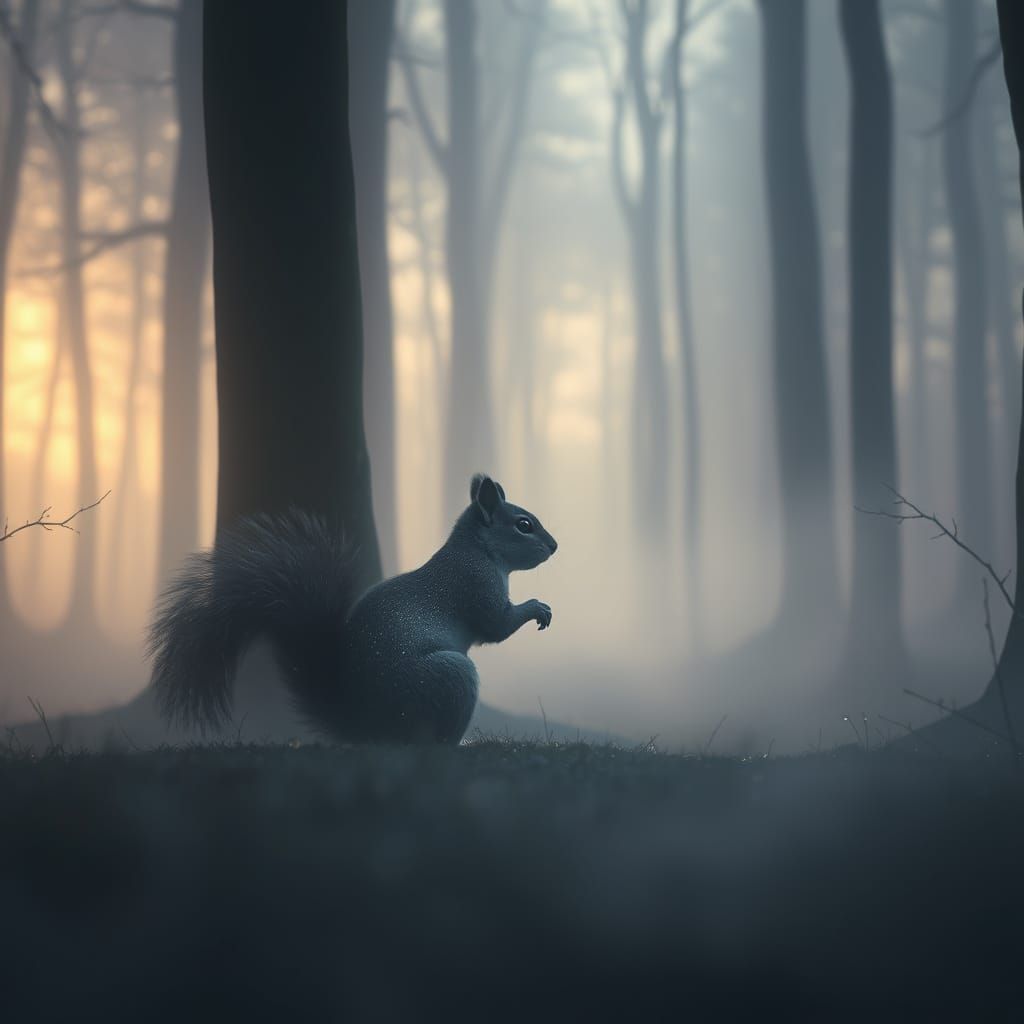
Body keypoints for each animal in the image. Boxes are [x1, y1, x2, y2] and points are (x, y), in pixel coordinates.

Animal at [148, 473, 557, 745]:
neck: (479, 551)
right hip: (450, 676)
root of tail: (364, 727)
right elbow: (496, 626)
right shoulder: (474, 585)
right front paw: (537, 607)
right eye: (523, 525)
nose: (554, 546)